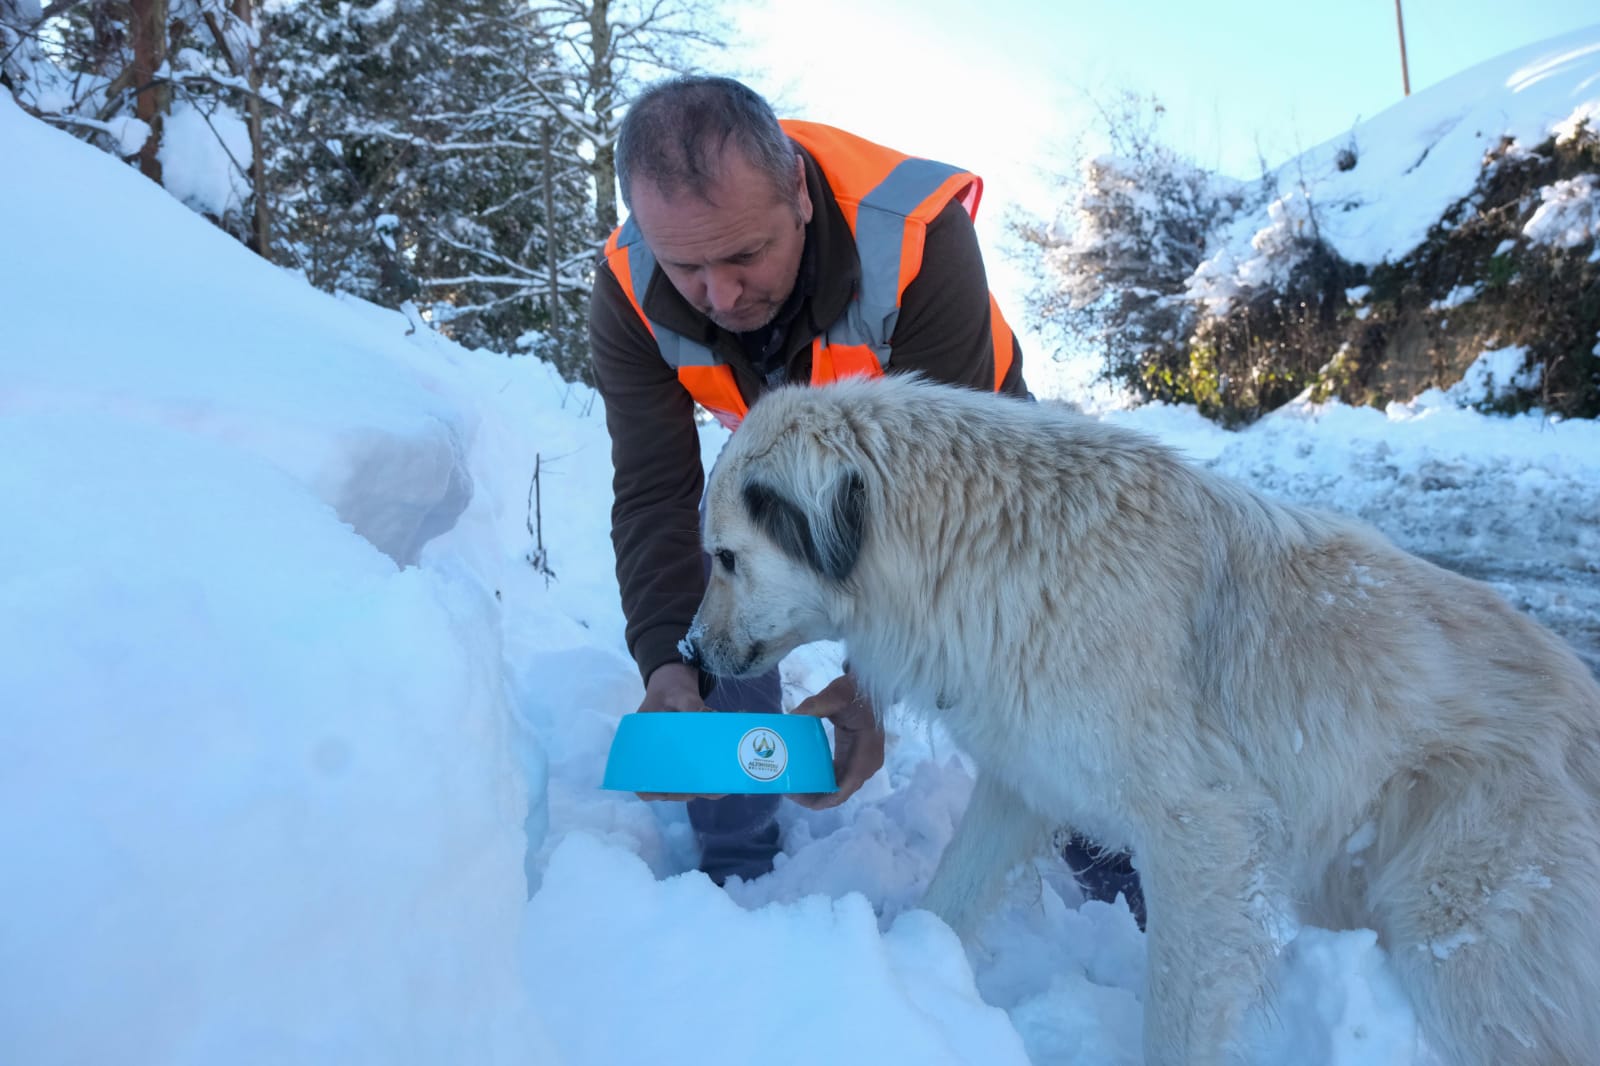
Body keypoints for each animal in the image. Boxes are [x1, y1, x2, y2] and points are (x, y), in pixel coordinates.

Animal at [683, 374, 1600, 1066]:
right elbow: (947, 900)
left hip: (1467, 951)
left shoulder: (1204, 836)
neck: (988, 549)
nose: (690, 654)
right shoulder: (1021, 785)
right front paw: (905, 976)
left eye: (726, 558)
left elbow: (1180, 1021)